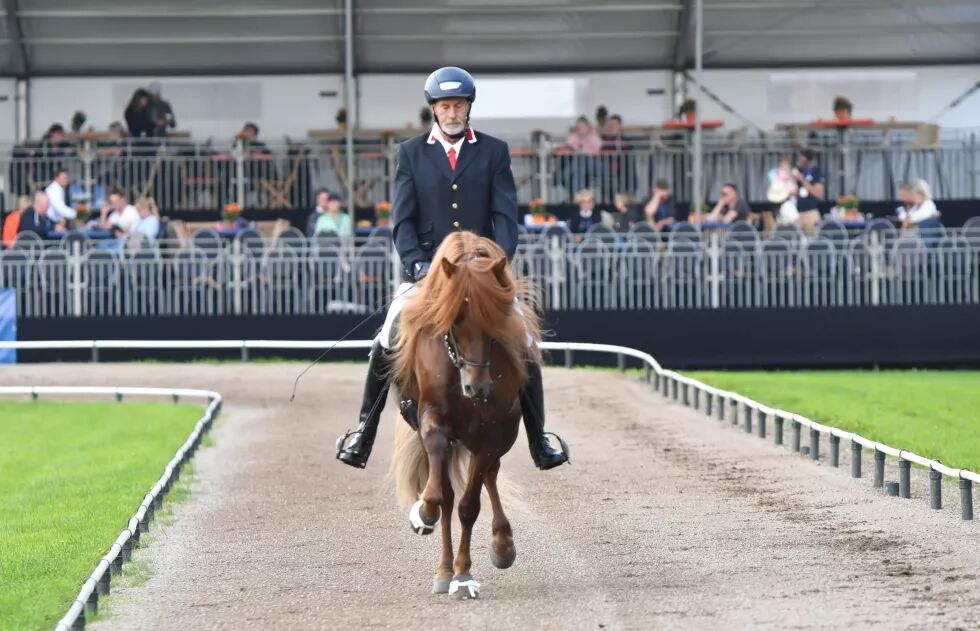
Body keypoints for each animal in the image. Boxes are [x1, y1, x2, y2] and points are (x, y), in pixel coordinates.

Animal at [386, 230, 540, 600]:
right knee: (448, 489)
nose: (476, 388)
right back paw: (443, 570)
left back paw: (501, 546)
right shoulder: (433, 422)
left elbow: (470, 506)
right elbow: (440, 497)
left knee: (488, 477)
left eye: (494, 320)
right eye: (454, 319)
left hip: (496, 437)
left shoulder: (492, 433)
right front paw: (422, 515)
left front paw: (464, 575)